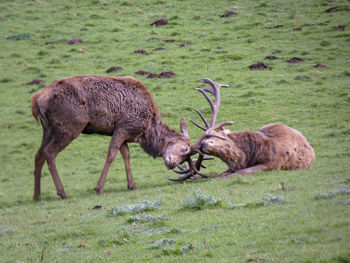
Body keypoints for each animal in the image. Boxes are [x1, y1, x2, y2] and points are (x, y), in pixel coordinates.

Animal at [31, 75, 193, 199]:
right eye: (185, 149)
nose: (172, 165)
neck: (146, 130)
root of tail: (38, 99)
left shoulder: (122, 133)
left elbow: (126, 155)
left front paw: (132, 185)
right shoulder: (123, 127)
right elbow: (111, 154)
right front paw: (99, 187)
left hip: (48, 128)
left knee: (39, 154)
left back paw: (37, 195)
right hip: (69, 126)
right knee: (49, 152)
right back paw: (62, 192)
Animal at [165, 78, 316, 182]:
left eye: (217, 134)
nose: (203, 144)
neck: (251, 153)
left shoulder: (273, 163)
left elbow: (239, 173)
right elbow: (225, 173)